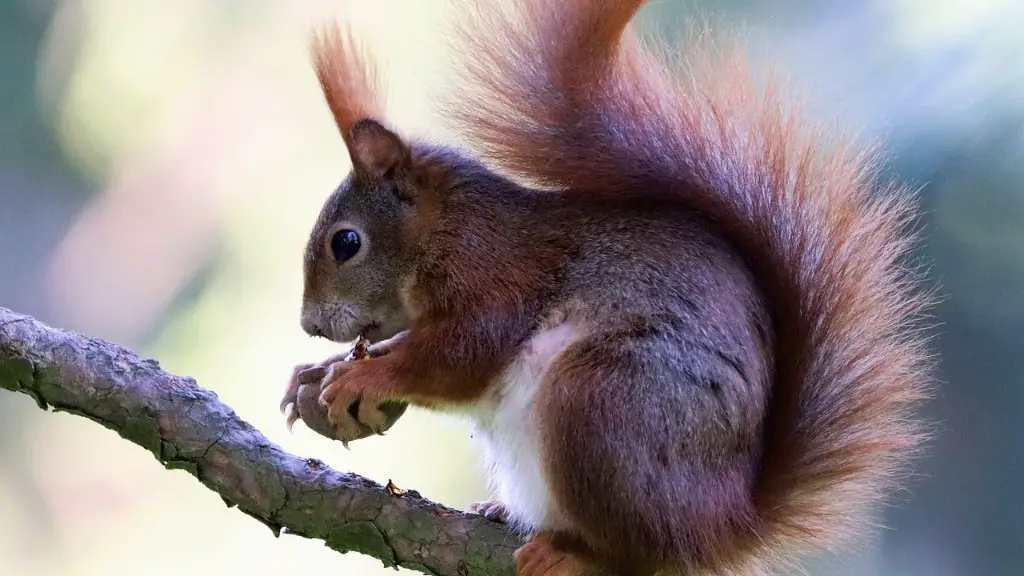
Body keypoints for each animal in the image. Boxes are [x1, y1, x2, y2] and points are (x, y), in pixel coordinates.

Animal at [278, 1, 937, 573]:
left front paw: (363, 376)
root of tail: (726, 524)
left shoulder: (498, 276)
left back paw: (579, 554)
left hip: (601, 399)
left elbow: (464, 355)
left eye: (346, 242)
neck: (448, 228)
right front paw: (318, 374)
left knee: (645, 553)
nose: (309, 324)